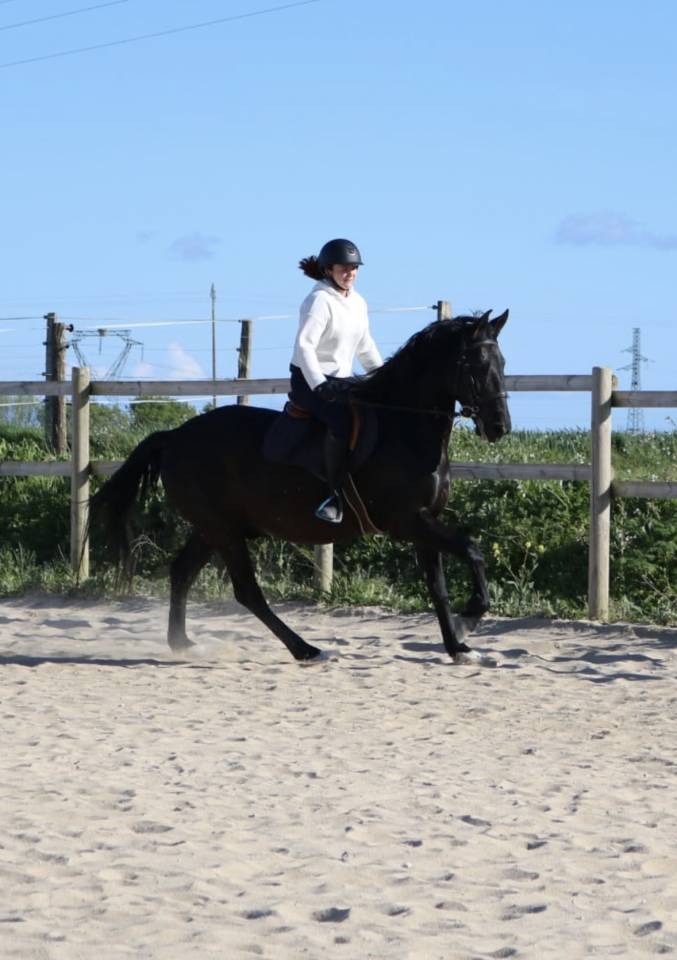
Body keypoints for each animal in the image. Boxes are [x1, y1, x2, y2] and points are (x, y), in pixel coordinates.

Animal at [90, 309, 511, 665]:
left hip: (213, 529)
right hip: (223, 531)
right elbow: (472, 550)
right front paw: (469, 618)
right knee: (247, 591)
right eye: (476, 365)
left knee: (182, 572)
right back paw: (305, 649)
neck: (404, 427)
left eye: (502, 364)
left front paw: (458, 646)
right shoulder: (406, 521)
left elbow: (438, 587)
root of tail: (174, 436)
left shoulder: (426, 521)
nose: (499, 427)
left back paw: (182, 643)